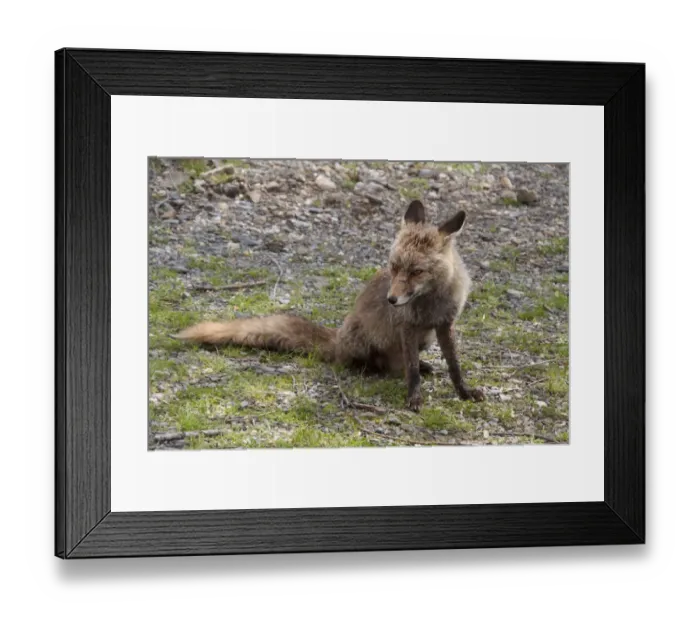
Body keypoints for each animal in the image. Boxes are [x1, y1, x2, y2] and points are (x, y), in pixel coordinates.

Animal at [176, 200, 485, 411]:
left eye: (417, 271)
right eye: (394, 267)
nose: (391, 300)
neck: (431, 302)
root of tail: (338, 338)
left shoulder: (444, 324)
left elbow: (455, 366)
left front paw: (464, 392)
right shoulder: (407, 326)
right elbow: (411, 373)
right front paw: (414, 397)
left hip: (426, 338)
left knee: (398, 364)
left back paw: (423, 365)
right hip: (365, 343)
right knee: (377, 364)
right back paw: (372, 368)